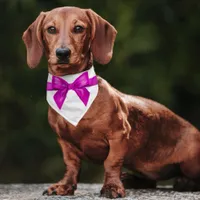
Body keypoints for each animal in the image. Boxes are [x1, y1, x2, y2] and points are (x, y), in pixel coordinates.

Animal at [22, 6, 200, 198]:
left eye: (78, 28)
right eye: (51, 29)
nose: (62, 53)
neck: (71, 87)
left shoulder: (118, 135)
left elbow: (111, 163)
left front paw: (112, 187)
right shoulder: (65, 142)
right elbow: (71, 165)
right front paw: (64, 186)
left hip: (190, 163)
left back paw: (185, 182)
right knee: (151, 181)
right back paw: (131, 180)